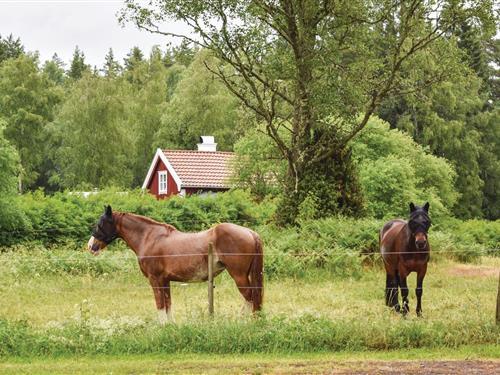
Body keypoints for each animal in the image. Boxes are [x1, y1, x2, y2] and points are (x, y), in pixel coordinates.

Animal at [88, 206, 264, 324]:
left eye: (101, 223)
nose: (91, 246)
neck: (149, 238)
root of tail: (250, 233)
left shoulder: (155, 279)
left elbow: (160, 303)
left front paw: (162, 326)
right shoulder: (165, 280)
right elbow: (168, 303)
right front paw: (170, 325)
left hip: (239, 276)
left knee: (249, 296)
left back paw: (242, 321)